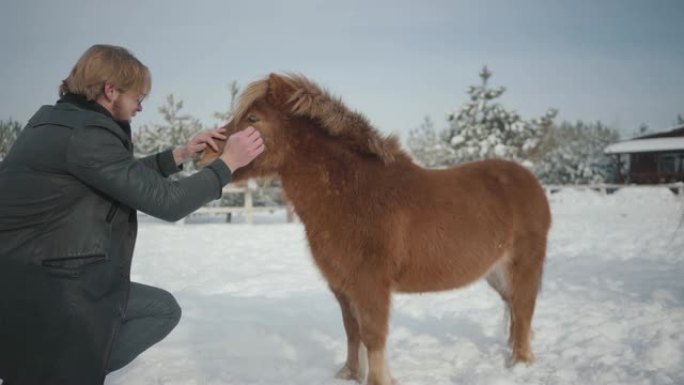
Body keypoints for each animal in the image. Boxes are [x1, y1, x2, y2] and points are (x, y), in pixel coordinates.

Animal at [198, 73, 552, 382]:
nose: (203, 152)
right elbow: (352, 331)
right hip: (496, 273)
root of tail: (530, 181)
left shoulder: (370, 285)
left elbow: (373, 334)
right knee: (514, 311)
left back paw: (520, 364)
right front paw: (350, 374)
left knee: (523, 310)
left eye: (253, 118)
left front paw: (379, 379)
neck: (352, 194)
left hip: (523, 267)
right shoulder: (343, 286)